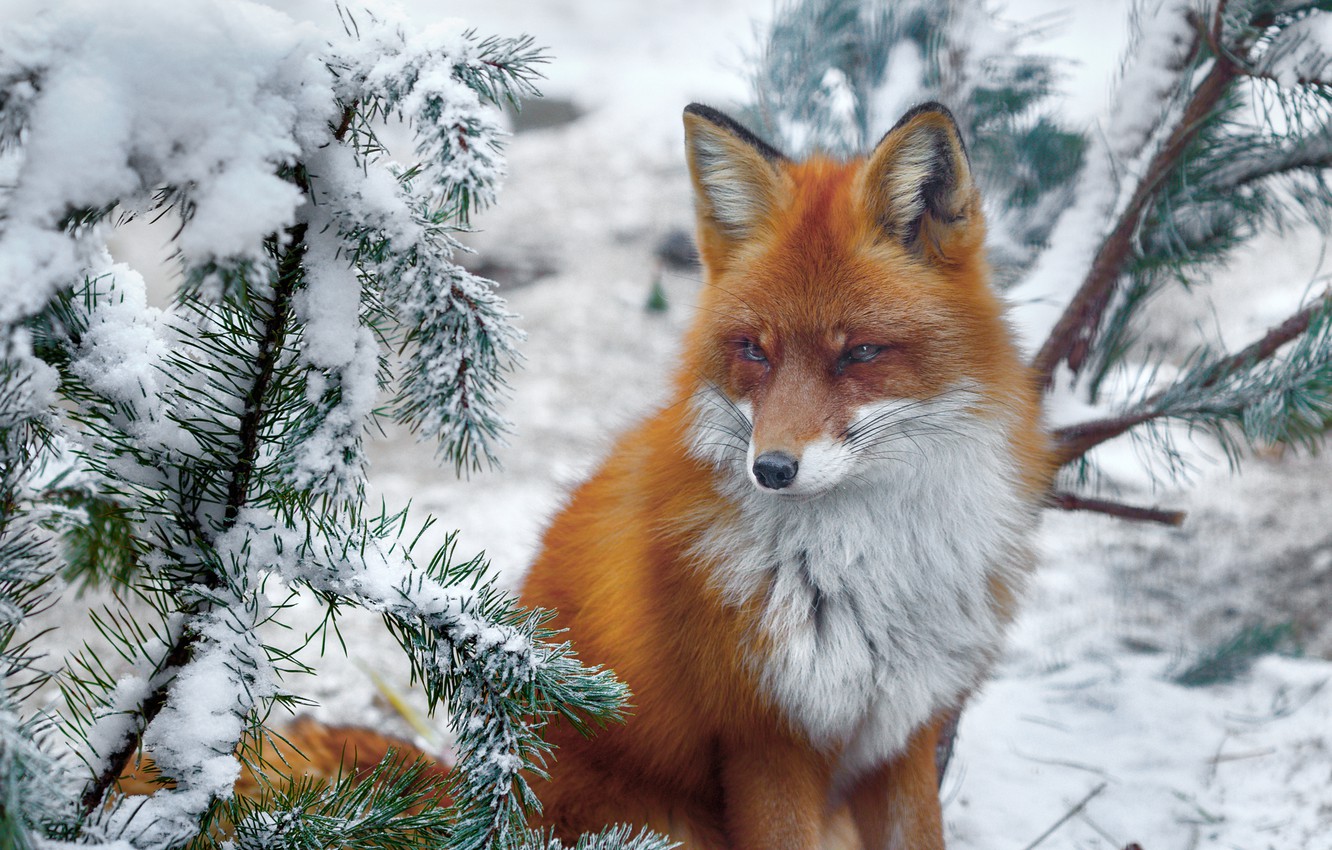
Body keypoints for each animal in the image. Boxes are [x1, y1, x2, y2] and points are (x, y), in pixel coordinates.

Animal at [517, 102, 1055, 849]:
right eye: (753, 350)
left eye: (860, 352)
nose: (771, 469)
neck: (870, 569)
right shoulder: (764, 741)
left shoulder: (904, 733)